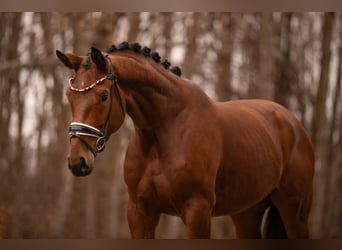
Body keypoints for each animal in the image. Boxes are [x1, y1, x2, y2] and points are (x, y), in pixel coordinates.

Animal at [56, 42, 316, 239]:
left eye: (103, 96)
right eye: (69, 95)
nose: (77, 161)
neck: (165, 133)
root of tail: (293, 123)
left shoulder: (197, 211)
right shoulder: (140, 211)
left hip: (295, 211)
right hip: (247, 212)